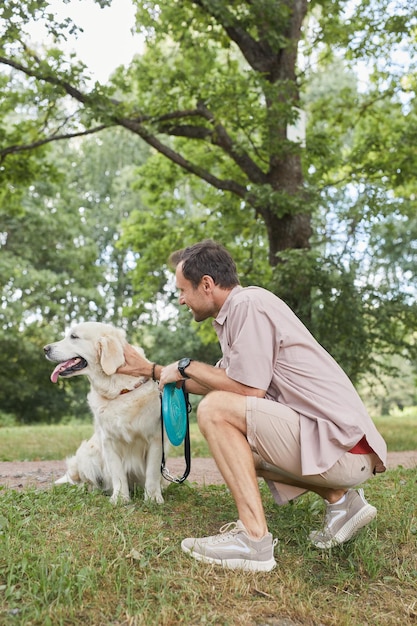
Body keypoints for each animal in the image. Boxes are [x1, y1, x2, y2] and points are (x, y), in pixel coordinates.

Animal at [41, 322, 166, 502]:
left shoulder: (156, 439)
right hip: (87, 453)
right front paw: (120, 498)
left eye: (74, 336)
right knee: (84, 480)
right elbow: (118, 473)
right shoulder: (108, 441)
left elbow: (152, 473)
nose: (45, 349)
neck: (119, 390)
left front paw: (153, 498)